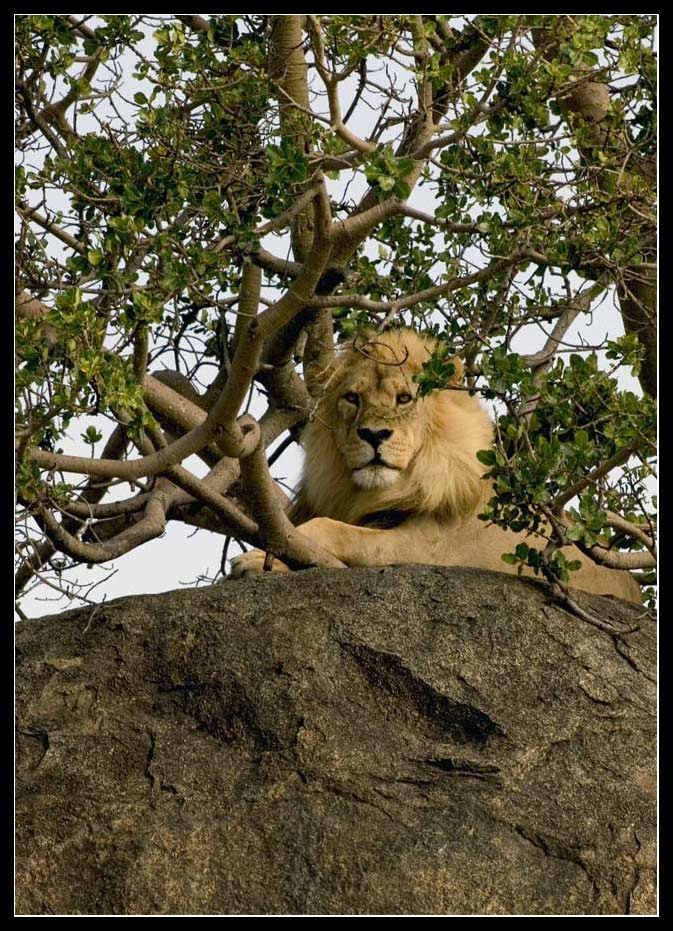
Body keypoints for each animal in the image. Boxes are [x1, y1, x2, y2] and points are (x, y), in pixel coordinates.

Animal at [230, 328, 642, 604]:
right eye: (352, 398)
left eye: (404, 398)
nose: (374, 435)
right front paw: (262, 561)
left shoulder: (423, 549)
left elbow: (331, 529)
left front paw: (254, 559)